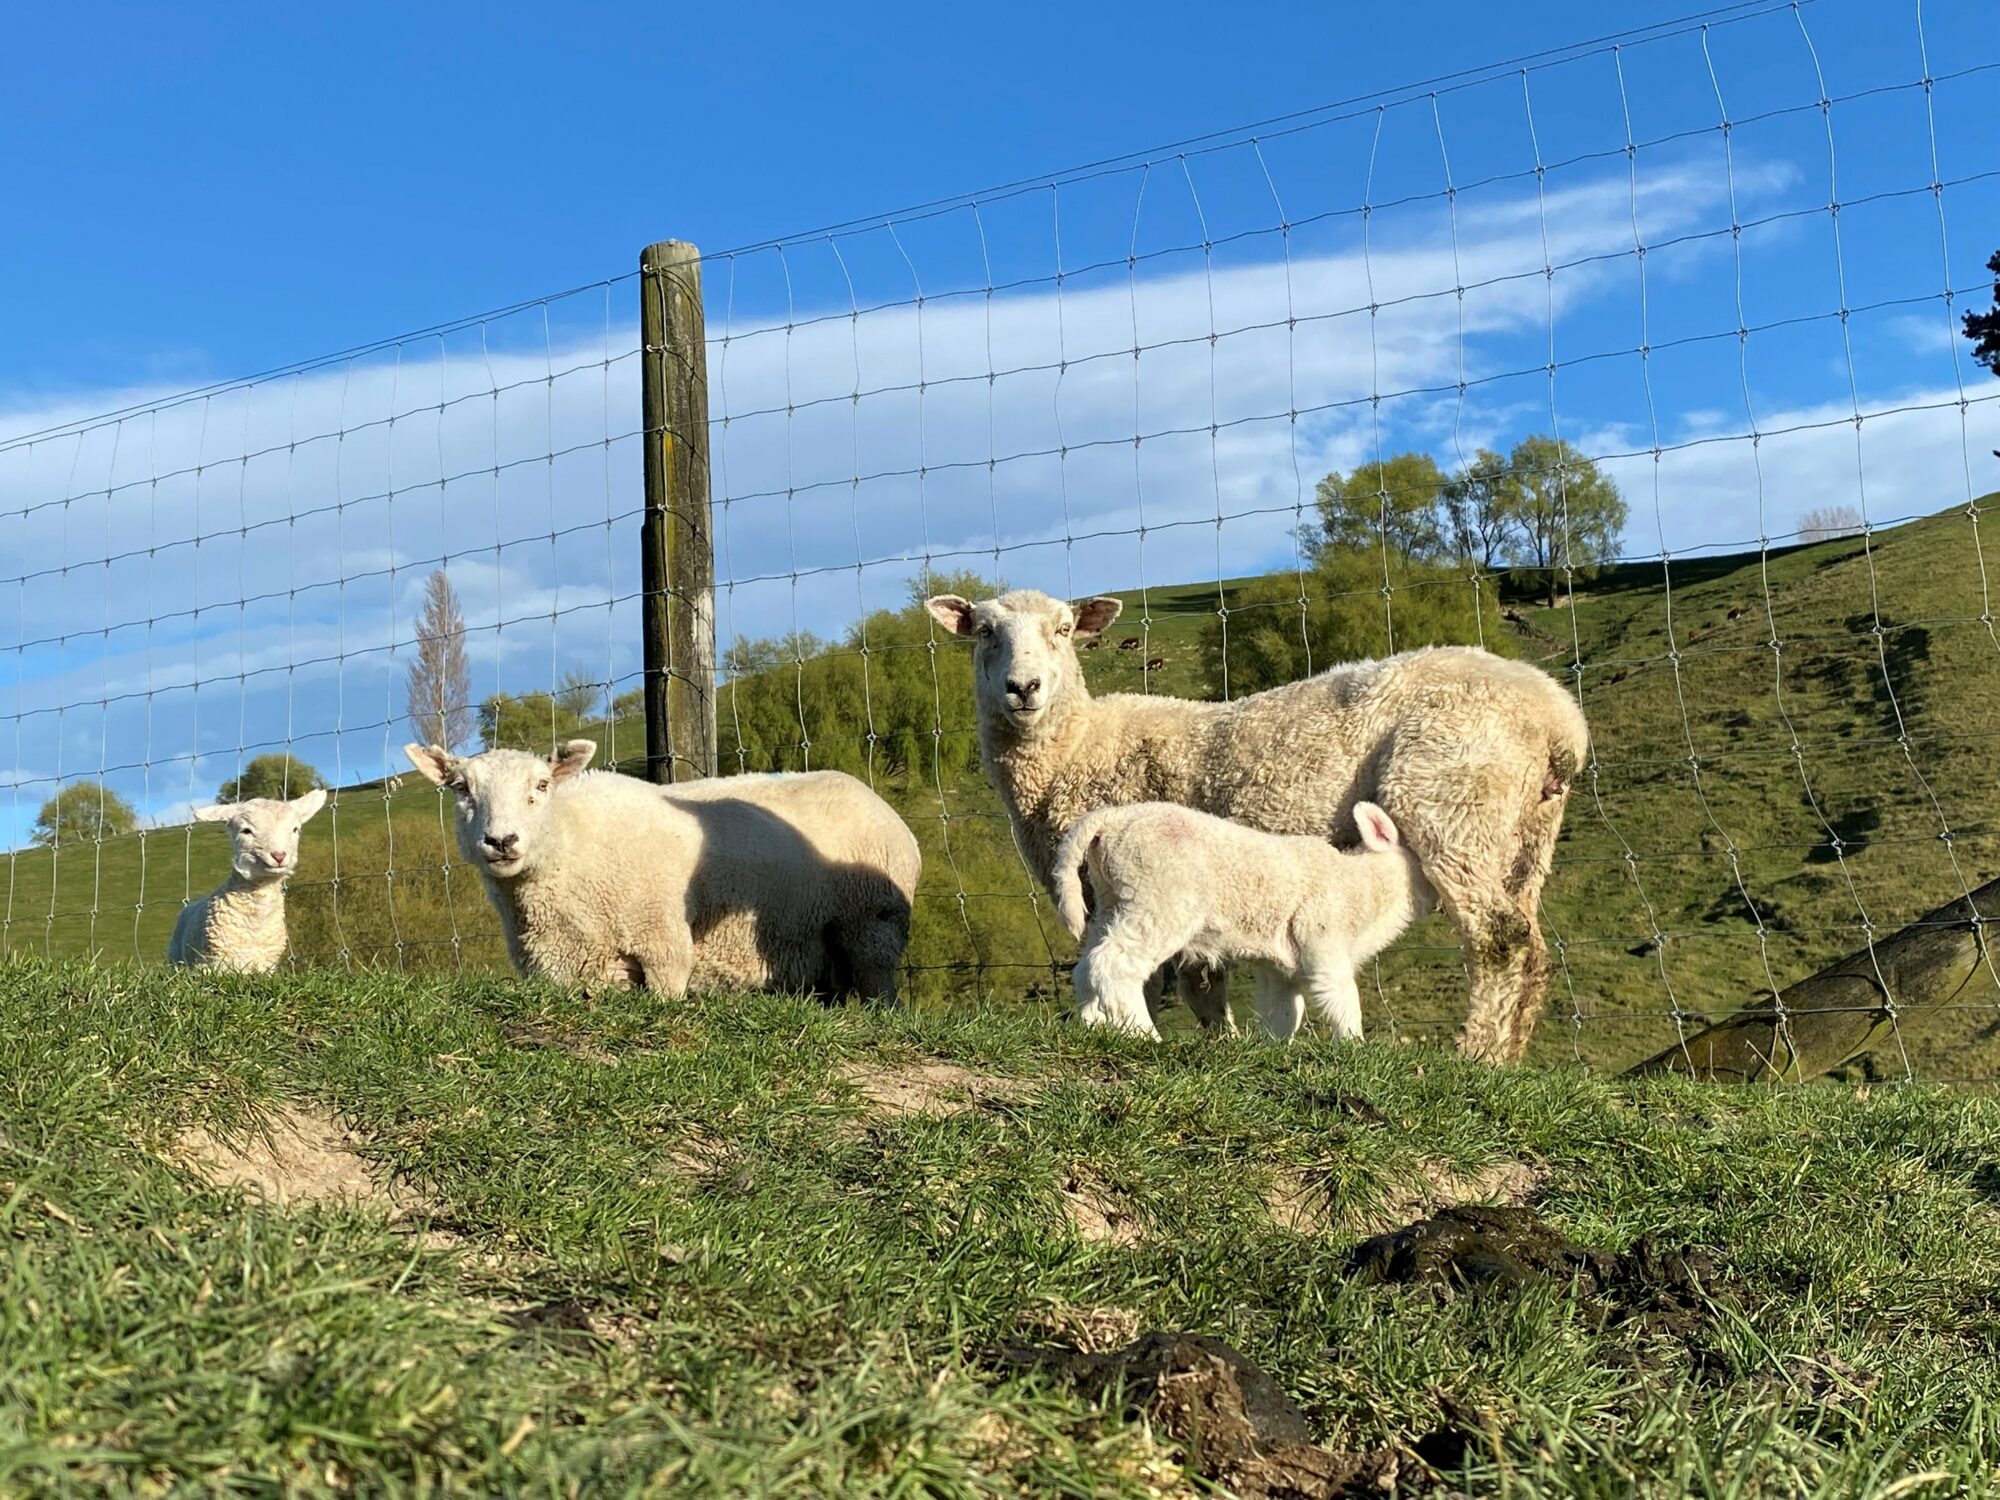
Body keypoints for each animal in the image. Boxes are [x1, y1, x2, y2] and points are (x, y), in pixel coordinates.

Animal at [403, 740, 920, 1001]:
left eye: (543, 785)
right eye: (460, 788)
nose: (501, 841)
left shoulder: (663, 944)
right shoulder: (560, 970)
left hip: (871, 922)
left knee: (879, 985)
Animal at [1052, 800, 1434, 1041]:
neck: (1365, 887)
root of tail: (1110, 819)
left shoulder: (1280, 969)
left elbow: (1283, 1015)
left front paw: (1274, 1051)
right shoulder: (1323, 940)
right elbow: (1343, 1002)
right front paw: (1352, 1048)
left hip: (1111, 901)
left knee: (1087, 966)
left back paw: (1092, 1025)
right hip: (1161, 898)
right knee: (1115, 964)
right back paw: (1143, 1035)